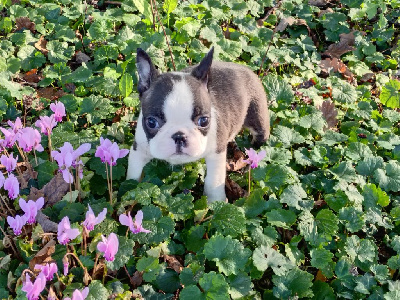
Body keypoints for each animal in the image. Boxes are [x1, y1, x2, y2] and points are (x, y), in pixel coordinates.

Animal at [126, 47, 270, 202]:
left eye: (204, 121)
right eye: (152, 122)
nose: (179, 136)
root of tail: (244, 68)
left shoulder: (216, 152)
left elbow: (213, 182)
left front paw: (215, 202)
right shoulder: (139, 149)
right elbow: (133, 174)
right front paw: (129, 191)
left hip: (257, 117)